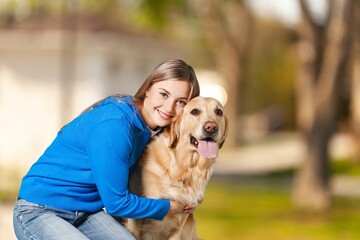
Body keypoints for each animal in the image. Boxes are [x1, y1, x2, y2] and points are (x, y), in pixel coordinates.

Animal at [124, 96, 228, 239]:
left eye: (219, 112)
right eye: (195, 111)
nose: (211, 127)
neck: (185, 168)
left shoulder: (179, 225)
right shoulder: (135, 217)